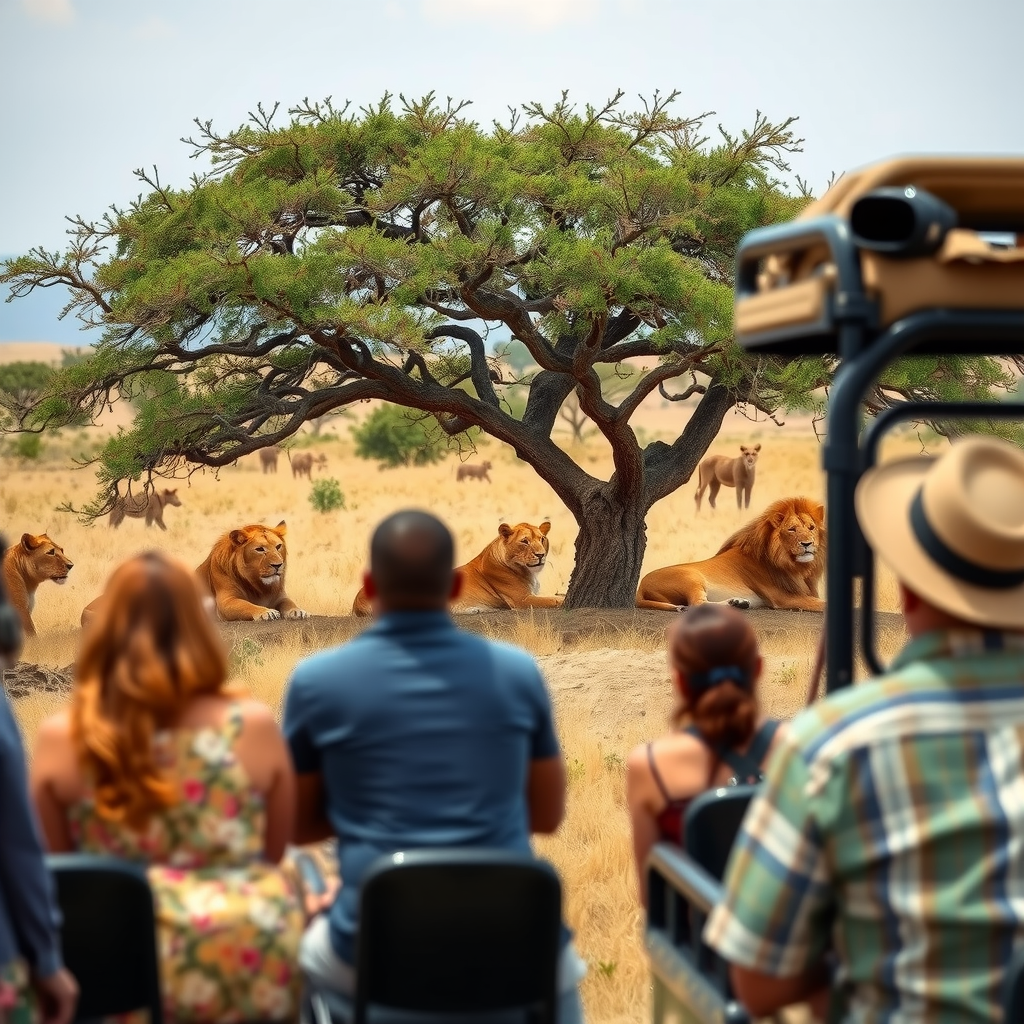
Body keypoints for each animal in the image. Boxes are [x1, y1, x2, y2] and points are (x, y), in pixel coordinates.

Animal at [351, 519, 563, 617]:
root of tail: (356, 601)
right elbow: (551, 600)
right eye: (525, 541)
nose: (541, 555)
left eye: (541, 539)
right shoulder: (521, 600)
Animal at [636, 496, 826, 612]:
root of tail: (640, 586)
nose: (807, 544)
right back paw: (735, 603)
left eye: (811, 528)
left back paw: (738, 603)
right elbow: (823, 604)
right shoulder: (783, 598)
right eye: (792, 529)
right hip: (690, 578)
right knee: (697, 604)